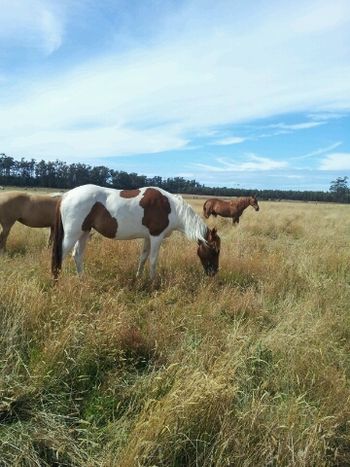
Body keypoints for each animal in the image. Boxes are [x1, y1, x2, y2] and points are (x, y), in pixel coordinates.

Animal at [51, 186, 221, 282]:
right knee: (60, 256)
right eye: (215, 251)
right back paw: (55, 283)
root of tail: (66, 195)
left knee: (77, 255)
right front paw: (153, 282)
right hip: (72, 234)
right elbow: (153, 260)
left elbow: (143, 258)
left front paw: (138, 277)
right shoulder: (156, 236)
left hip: (84, 232)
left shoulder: (147, 237)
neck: (171, 207)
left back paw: (82, 280)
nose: (214, 273)